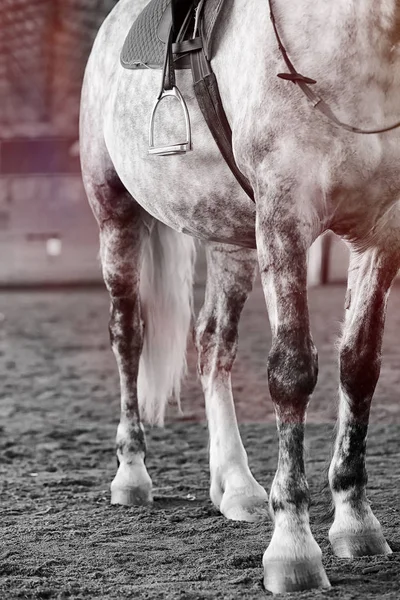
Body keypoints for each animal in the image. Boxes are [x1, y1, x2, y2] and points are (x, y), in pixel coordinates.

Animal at [79, 0, 398, 592]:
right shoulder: (284, 216)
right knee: (127, 337)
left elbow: (360, 367)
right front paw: (293, 550)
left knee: (213, 345)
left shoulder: (383, 230)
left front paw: (357, 523)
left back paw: (236, 486)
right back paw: (132, 475)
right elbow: (292, 372)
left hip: (231, 240)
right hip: (116, 214)